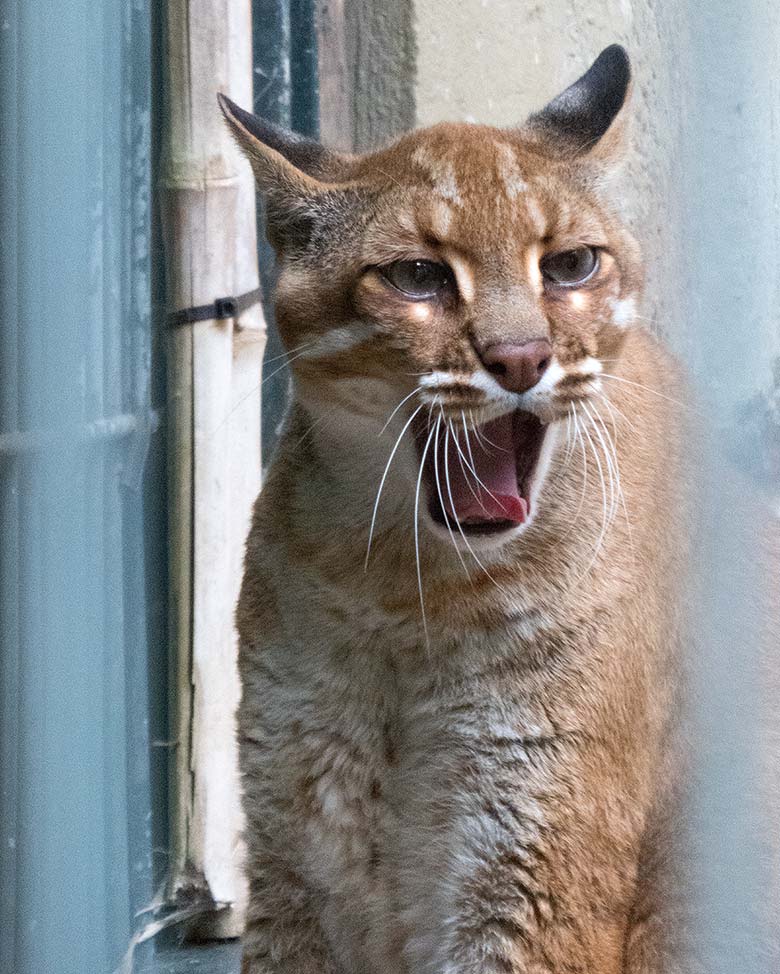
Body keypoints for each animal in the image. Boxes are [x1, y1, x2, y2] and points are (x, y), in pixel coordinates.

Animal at [221, 49, 708, 974]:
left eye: (570, 266)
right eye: (417, 277)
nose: (521, 359)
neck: (406, 590)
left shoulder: (530, 865)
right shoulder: (294, 860)